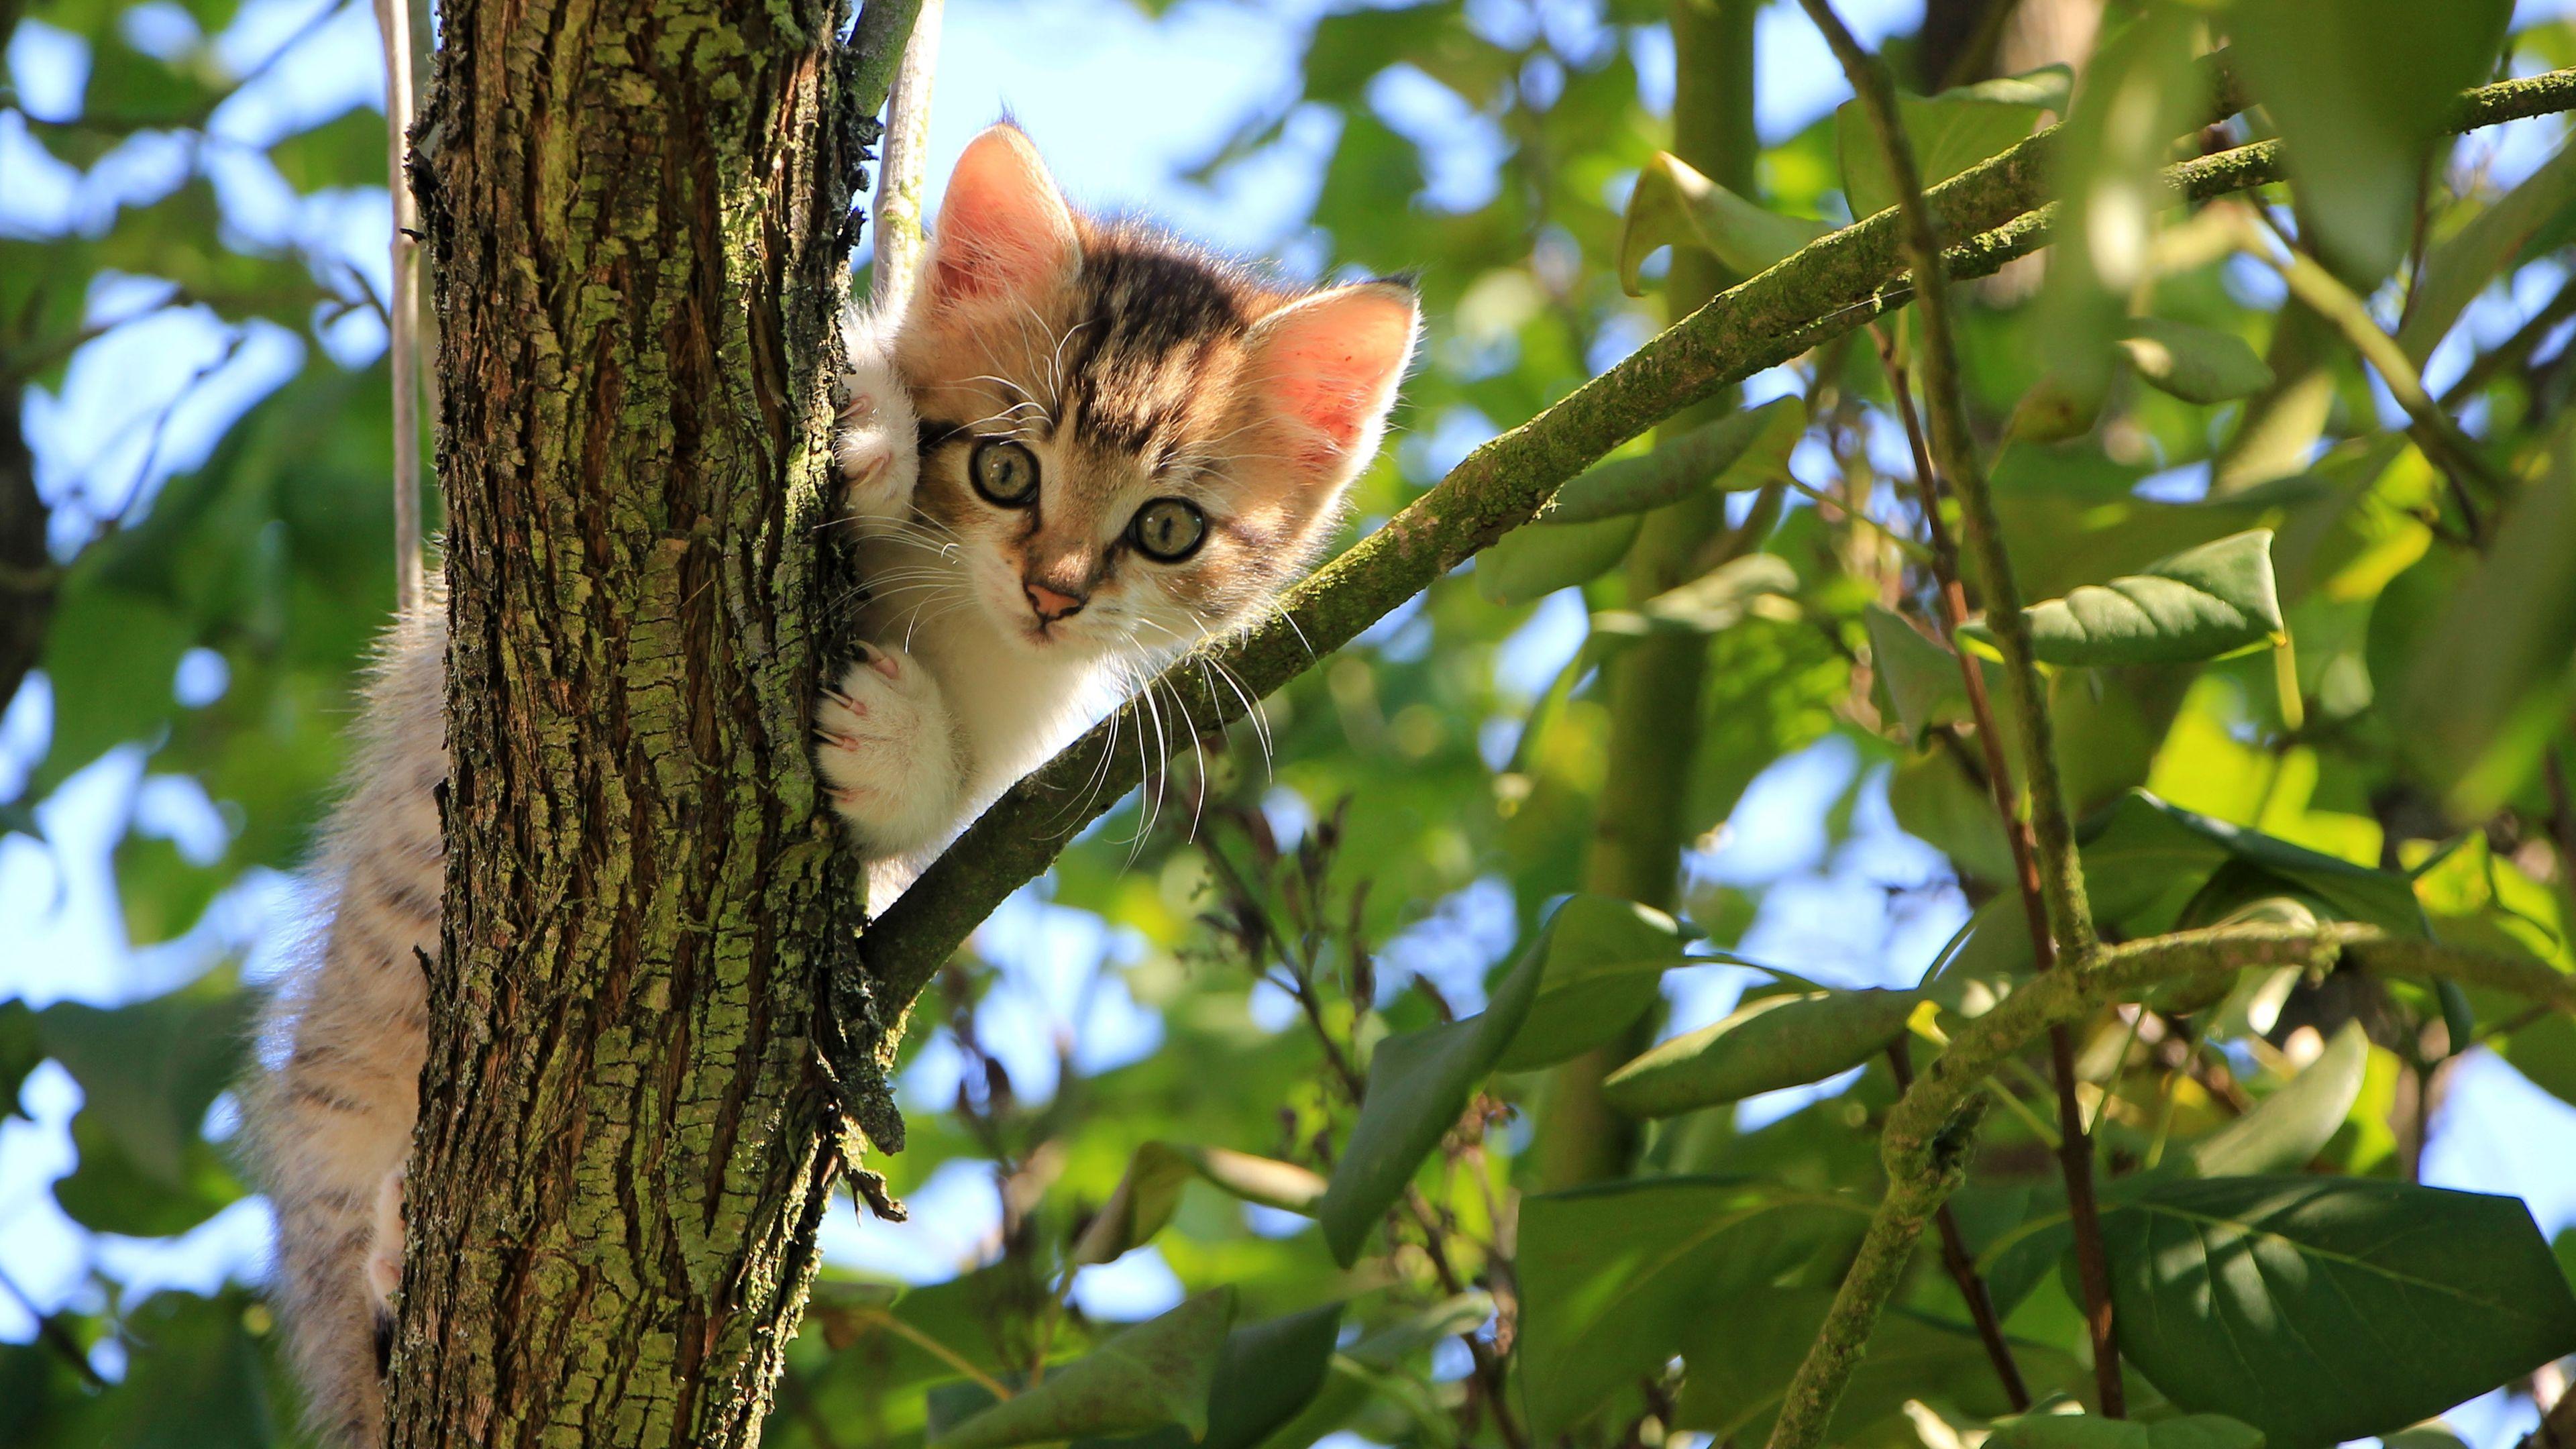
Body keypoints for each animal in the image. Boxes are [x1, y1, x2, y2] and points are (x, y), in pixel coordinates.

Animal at [251, 123, 1421, 1444]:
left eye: (1168, 528)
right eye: (1007, 468)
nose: (1055, 593)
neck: (953, 603)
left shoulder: (1017, 741)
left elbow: (948, 807)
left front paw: (895, 741)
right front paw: (869, 429)